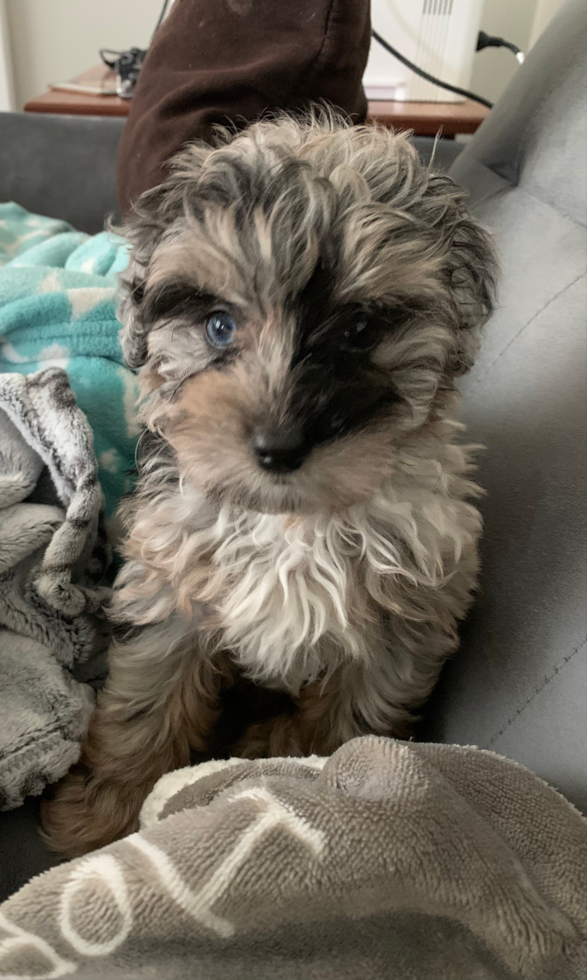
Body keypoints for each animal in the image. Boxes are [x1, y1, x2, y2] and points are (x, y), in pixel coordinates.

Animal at [43, 111, 498, 852]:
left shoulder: (409, 609)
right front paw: (104, 813)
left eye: (360, 329)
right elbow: (146, 701)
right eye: (218, 325)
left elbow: (350, 718)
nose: (279, 446)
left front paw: (323, 775)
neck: (292, 518)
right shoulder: (171, 586)